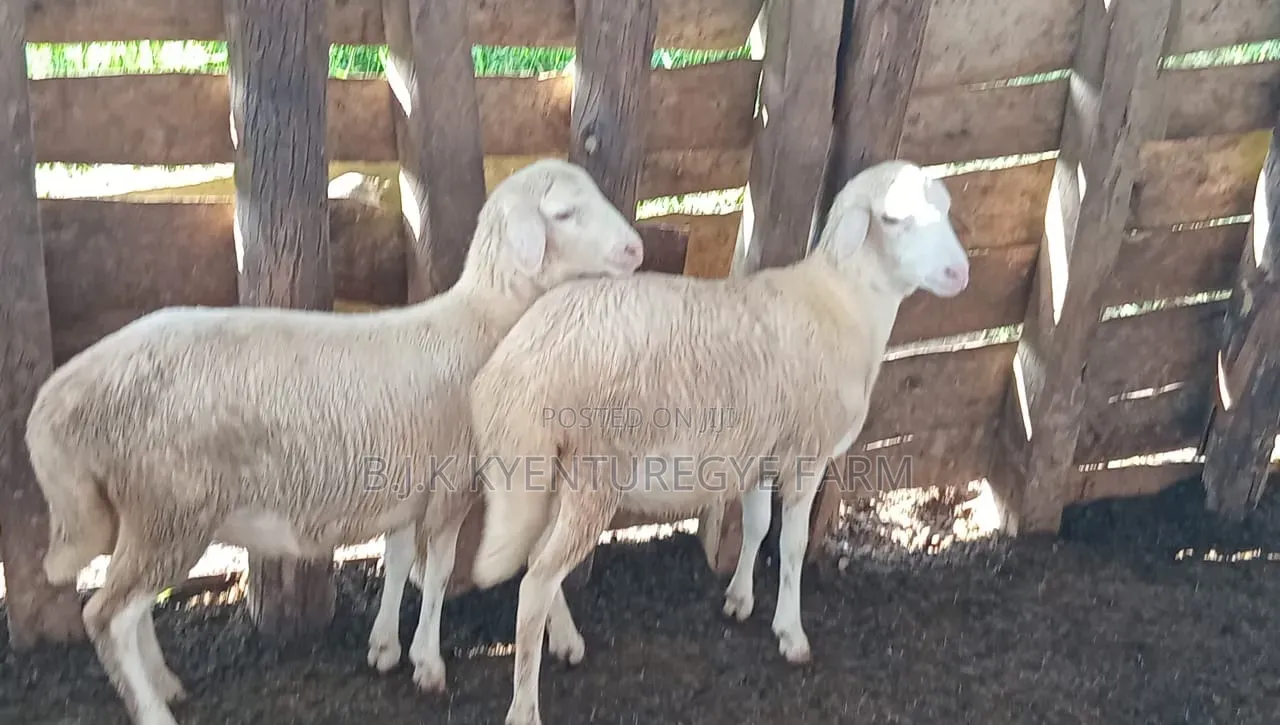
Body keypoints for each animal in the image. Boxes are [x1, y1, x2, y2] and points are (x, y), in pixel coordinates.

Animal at [24, 158, 644, 725]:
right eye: (564, 213)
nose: (635, 250)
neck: (484, 323)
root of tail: (57, 403)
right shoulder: (455, 480)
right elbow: (443, 570)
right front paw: (429, 662)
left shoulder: (405, 480)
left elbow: (400, 559)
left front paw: (386, 646)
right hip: (172, 506)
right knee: (107, 616)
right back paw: (154, 710)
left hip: (150, 513)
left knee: (131, 610)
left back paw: (165, 685)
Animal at [465, 159, 971, 725]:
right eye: (893, 218)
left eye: (946, 208)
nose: (959, 274)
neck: (843, 302)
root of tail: (512, 369)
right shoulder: (808, 452)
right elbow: (792, 544)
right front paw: (790, 632)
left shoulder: (761, 451)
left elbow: (755, 525)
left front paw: (740, 598)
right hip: (594, 475)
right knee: (535, 582)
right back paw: (525, 707)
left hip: (547, 475)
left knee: (535, 561)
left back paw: (567, 640)